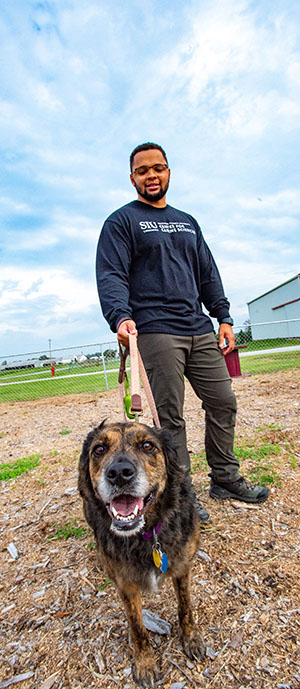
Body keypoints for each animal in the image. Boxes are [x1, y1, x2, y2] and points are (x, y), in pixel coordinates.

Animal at [77, 420, 205, 684]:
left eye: (147, 446)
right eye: (99, 450)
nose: (119, 473)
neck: (146, 535)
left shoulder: (183, 567)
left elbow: (185, 607)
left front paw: (191, 639)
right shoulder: (126, 585)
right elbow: (137, 625)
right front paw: (145, 663)